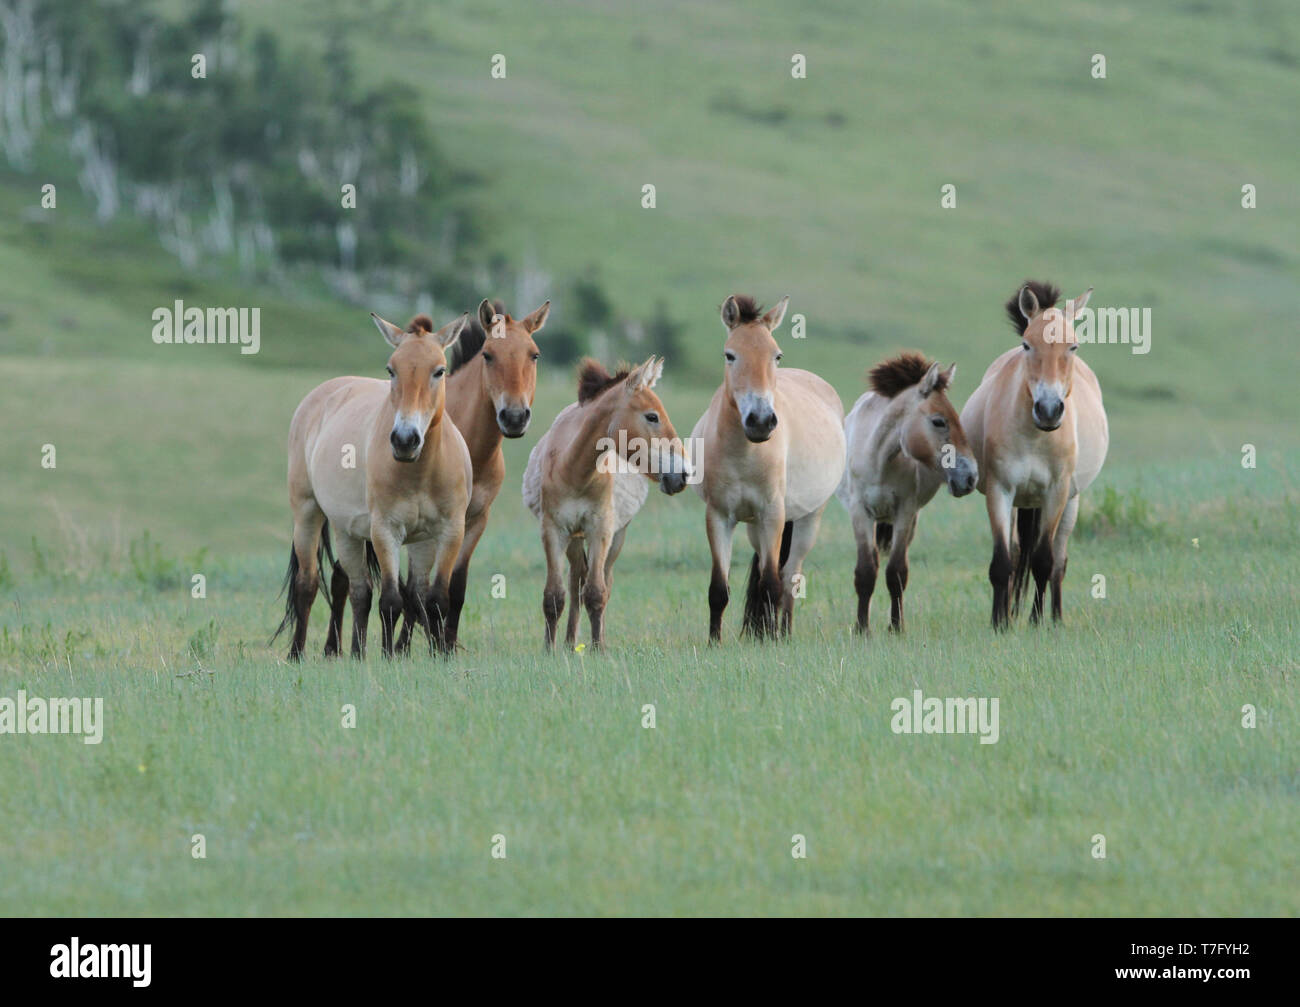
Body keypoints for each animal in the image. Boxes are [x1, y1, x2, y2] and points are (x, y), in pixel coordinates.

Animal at [274, 314, 473, 662]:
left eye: (439, 370)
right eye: (391, 370)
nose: (405, 439)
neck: (419, 471)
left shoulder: (448, 531)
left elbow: (433, 599)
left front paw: (439, 655)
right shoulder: (385, 530)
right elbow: (391, 600)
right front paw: (389, 656)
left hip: (360, 534)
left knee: (365, 591)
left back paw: (356, 652)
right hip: (309, 514)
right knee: (312, 585)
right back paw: (301, 654)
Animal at [522, 358, 696, 649]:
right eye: (652, 416)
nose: (683, 475)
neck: (573, 468)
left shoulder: (600, 530)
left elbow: (596, 593)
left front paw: (598, 649)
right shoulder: (553, 531)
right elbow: (554, 596)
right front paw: (548, 649)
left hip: (616, 537)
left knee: (602, 583)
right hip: (574, 539)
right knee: (575, 582)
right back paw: (569, 643)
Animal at [686, 293, 847, 639]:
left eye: (777, 355)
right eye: (730, 355)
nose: (760, 421)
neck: (745, 453)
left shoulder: (773, 514)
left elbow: (773, 584)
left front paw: (772, 640)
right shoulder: (719, 516)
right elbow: (719, 589)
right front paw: (714, 642)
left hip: (806, 520)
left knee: (789, 579)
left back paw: (783, 633)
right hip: (754, 527)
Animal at [837, 353, 977, 634]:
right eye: (939, 421)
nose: (970, 477)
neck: (877, 458)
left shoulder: (905, 511)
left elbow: (897, 573)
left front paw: (896, 627)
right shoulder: (860, 512)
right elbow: (866, 571)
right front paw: (861, 629)